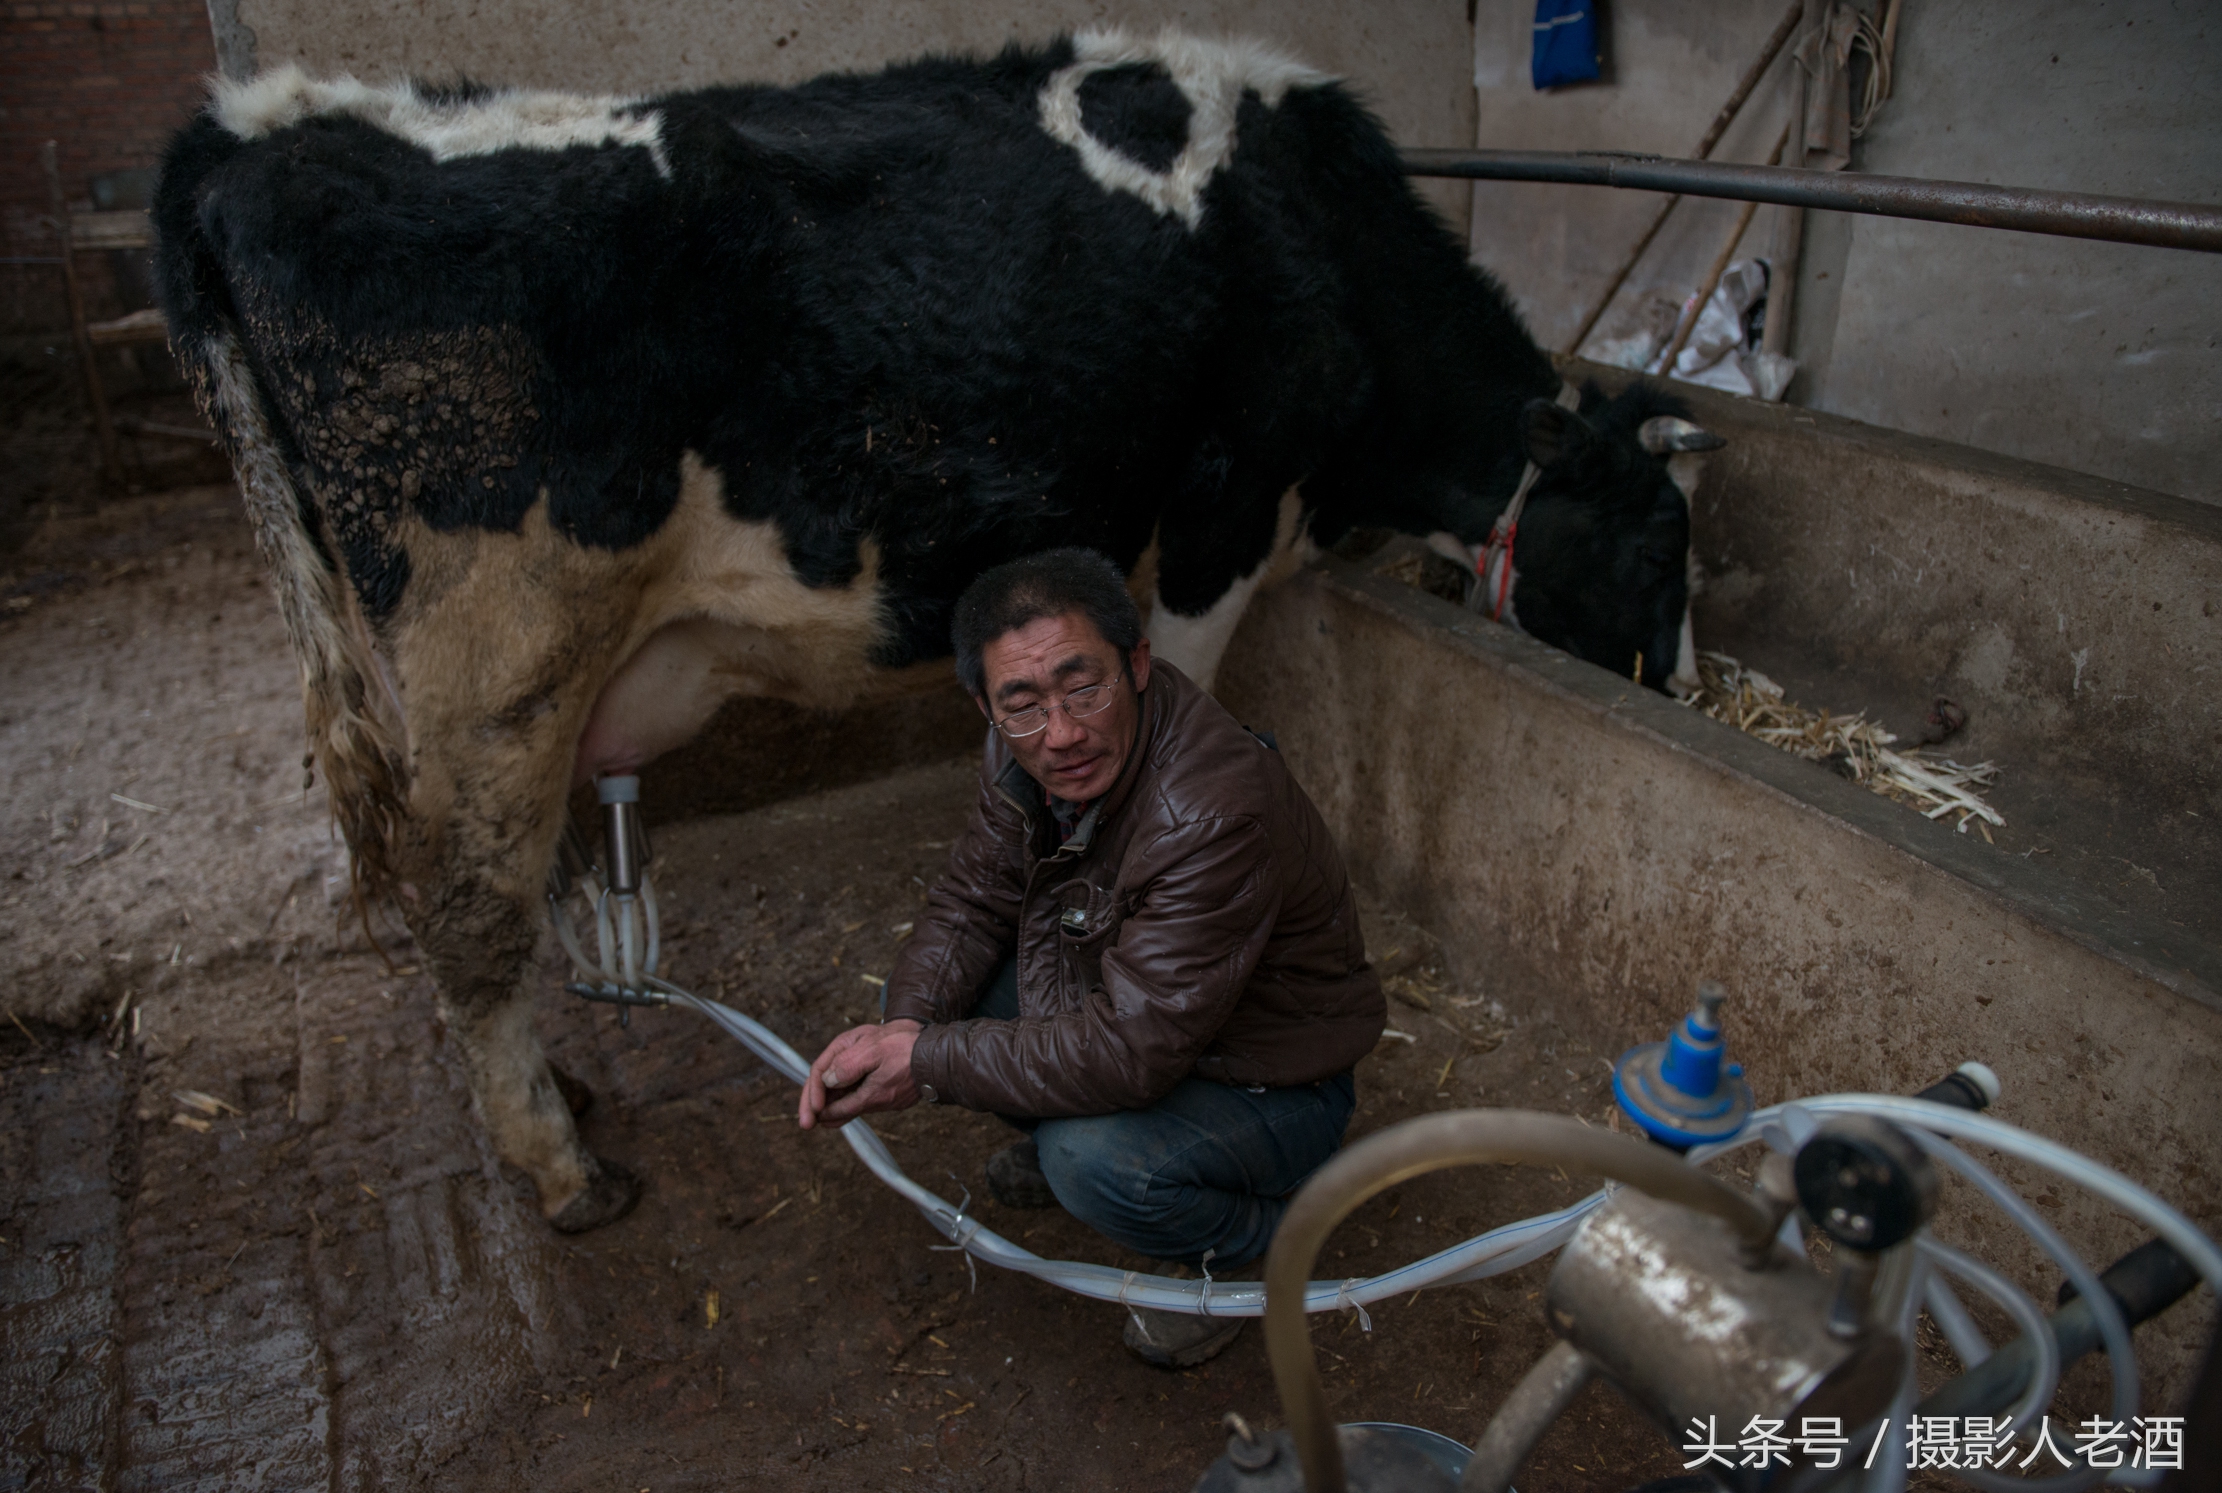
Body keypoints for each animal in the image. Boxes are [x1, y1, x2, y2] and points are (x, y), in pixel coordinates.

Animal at [156, 29, 1715, 1226]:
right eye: (1658, 540)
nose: (1686, 695)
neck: (1318, 242)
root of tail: (253, 128)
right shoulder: (1214, 524)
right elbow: (1186, 706)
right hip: (497, 646)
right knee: (470, 909)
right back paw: (561, 1168)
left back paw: (572, 1096)